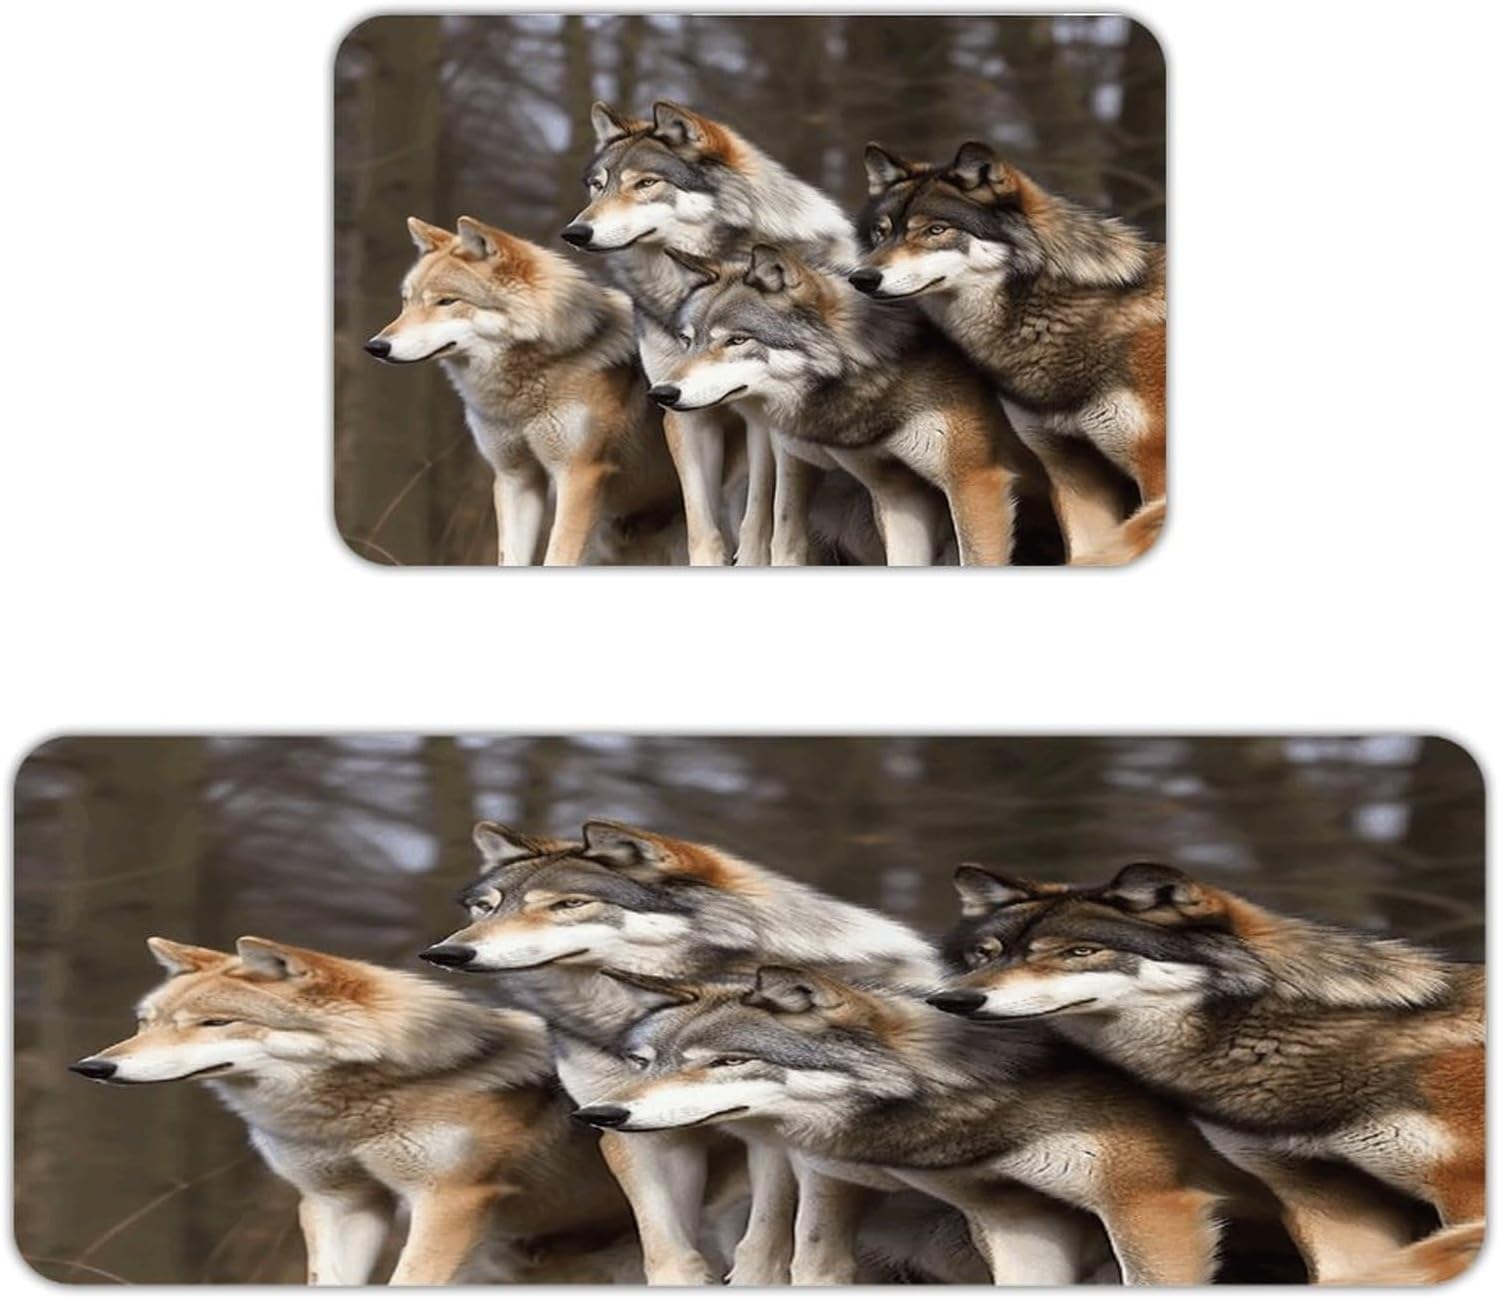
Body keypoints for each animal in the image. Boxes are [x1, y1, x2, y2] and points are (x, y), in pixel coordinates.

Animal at [365, 215, 682, 565]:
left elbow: (557, 558)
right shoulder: (515, 478)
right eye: (406, 301)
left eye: (447, 301)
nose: (376, 346)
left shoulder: (579, 476)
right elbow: (511, 558)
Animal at [419, 819, 944, 1284]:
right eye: (486, 908)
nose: (445, 953)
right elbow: (666, 1248)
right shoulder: (634, 1128)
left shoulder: (776, 1134)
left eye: (570, 904)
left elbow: (767, 1242)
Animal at [563, 100, 858, 565]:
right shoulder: (683, 410)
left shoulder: (764, 416)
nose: (575, 232)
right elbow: (701, 522)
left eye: (646, 183)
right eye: (598, 186)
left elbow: (762, 512)